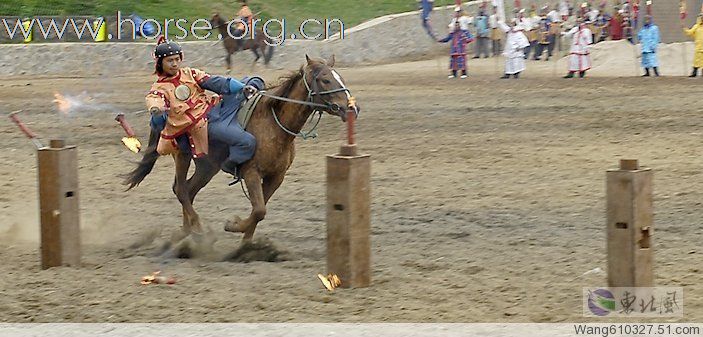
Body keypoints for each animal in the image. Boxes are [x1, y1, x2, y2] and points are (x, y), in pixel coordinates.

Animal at [123, 55, 358, 244]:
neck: (272, 122)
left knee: (189, 190)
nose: (351, 108)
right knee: (181, 190)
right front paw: (233, 225)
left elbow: (259, 210)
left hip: (207, 166)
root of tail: (164, 117)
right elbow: (260, 210)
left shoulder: (276, 177)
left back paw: (187, 232)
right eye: (325, 79)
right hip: (183, 156)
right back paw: (197, 229)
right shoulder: (251, 172)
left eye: (340, 78)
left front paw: (246, 244)